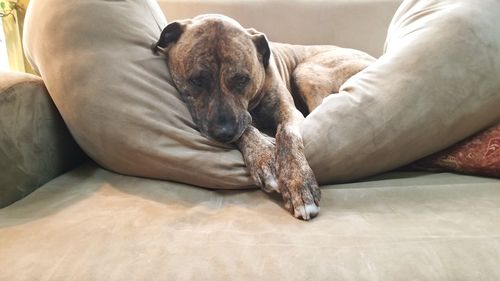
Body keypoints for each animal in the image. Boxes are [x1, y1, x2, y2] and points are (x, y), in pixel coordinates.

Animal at [153, 14, 376, 220]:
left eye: (242, 79)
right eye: (197, 80)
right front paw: (264, 155)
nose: (224, 132)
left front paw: (299, 183)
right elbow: (247, 129)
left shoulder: (288, 112)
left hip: (306, 71)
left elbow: (287, 134)